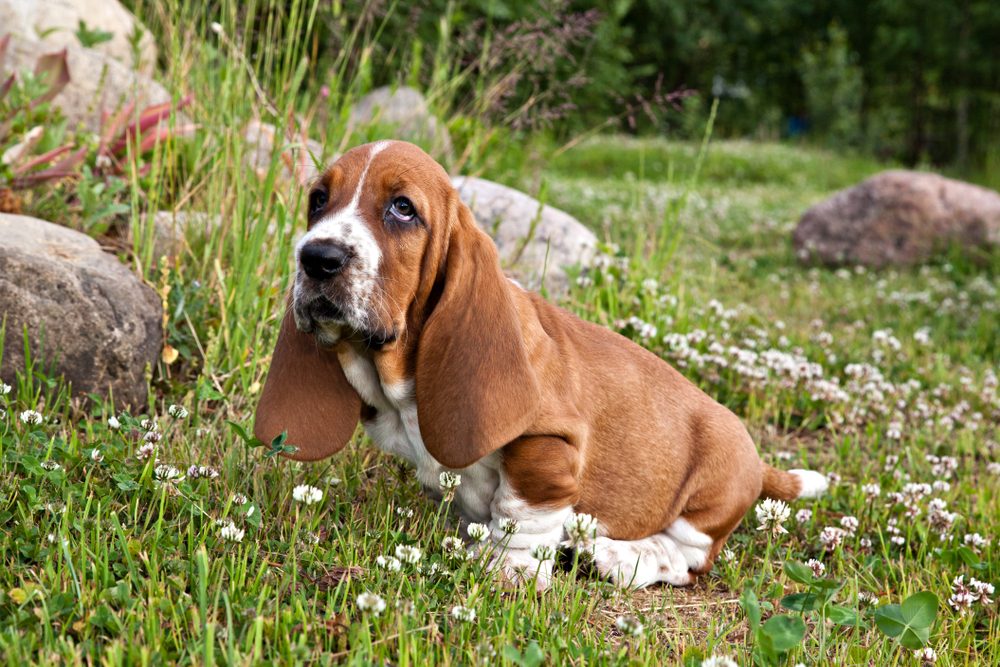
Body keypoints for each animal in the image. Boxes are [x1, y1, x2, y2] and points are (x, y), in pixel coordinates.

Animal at [254, 140, 824, 588]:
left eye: (402, 208)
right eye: (318, 200)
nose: (317, 258)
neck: (397, 376)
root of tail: (758, 463)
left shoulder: (550, 444)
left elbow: (522, 514)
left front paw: (509, 570)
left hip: (708, 493)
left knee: (687, 558)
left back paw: (619, 556)